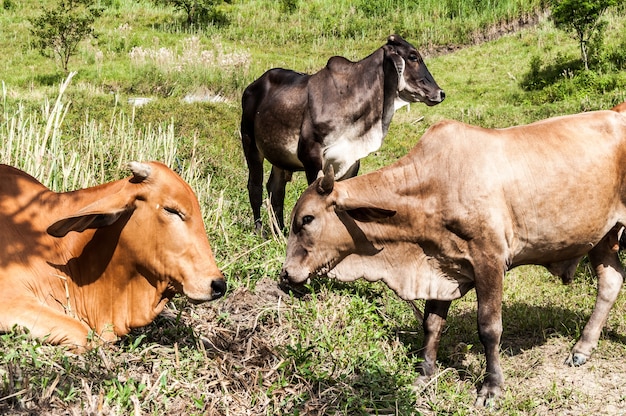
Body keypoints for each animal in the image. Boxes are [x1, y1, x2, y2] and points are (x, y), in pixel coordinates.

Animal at [239, 34, 444, 232]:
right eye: (413, 56)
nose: (440, 93)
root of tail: (251, 86)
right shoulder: (310, 156)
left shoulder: (352, 160)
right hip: (250, 144)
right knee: (255, 186)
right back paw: (259, 230)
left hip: (280, 159)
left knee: (276, 190)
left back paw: (280, 232)